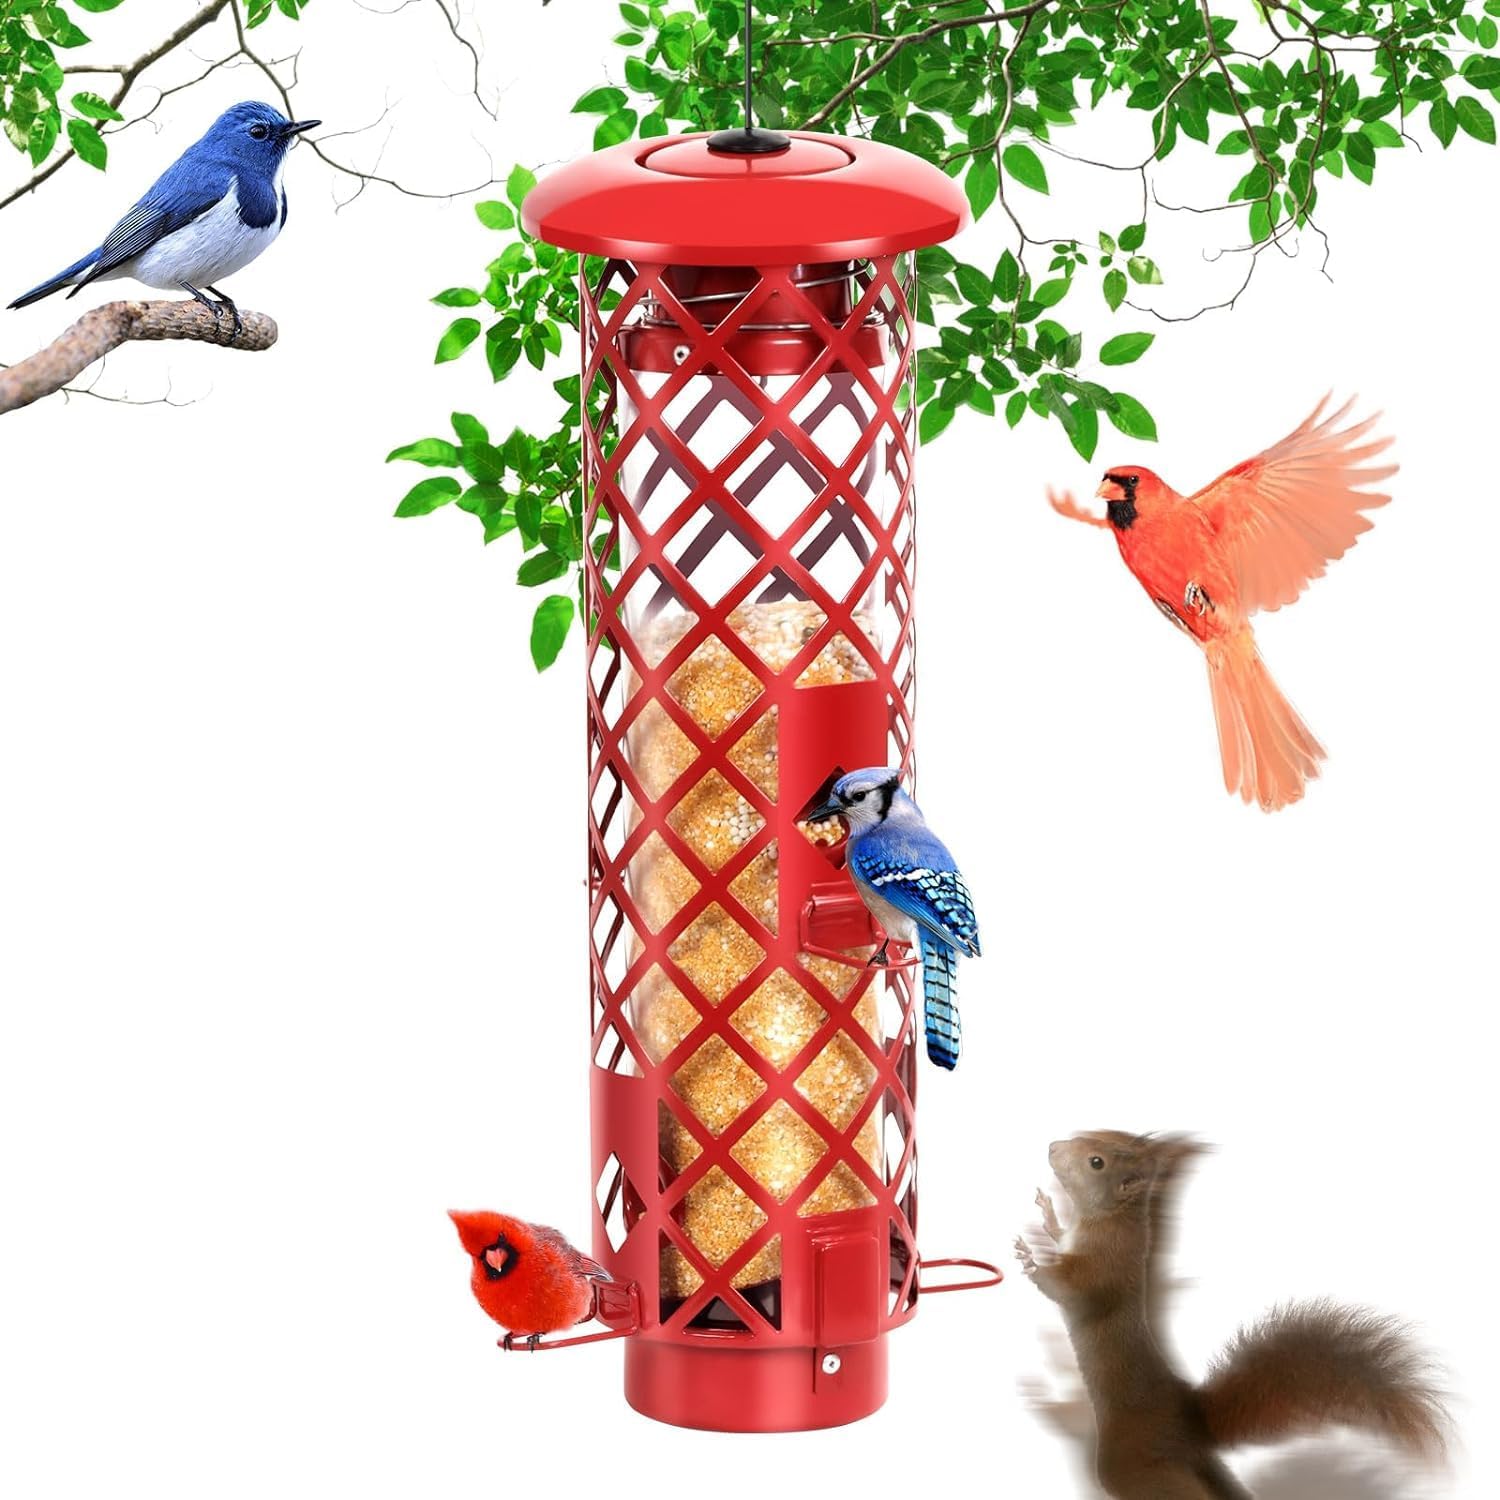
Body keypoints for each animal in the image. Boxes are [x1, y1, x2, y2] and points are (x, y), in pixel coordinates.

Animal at [1014, 1132, 1449, 1500]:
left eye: (1096, 1162)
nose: (1053, 1147)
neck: (1111, 1218)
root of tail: (1189, 1423)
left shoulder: (1102, 1270)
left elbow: (1066, 1289)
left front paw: (1033, 1257)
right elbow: (1060, 1237)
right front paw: (1048, 1217)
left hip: (1131, 1463)